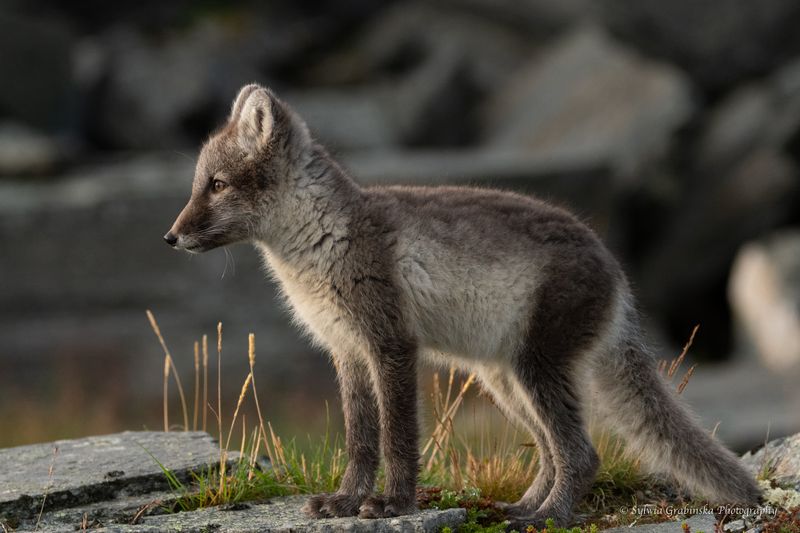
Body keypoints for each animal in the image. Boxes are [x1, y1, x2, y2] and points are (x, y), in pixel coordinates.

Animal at [164, 84, 760, 529]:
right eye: (198, 184)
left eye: (216, 185)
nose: (169, 238)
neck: (321, 241)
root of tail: (616, 272)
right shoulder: (347, 352)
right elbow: (360, 442)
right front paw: (345, 503)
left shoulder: (392, 346)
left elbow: (398, 439)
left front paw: (393, 505)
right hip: (505, 381)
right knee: (552, 452)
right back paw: (521, 509)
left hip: (536, 369)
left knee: (581, 453)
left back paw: (549, 518)